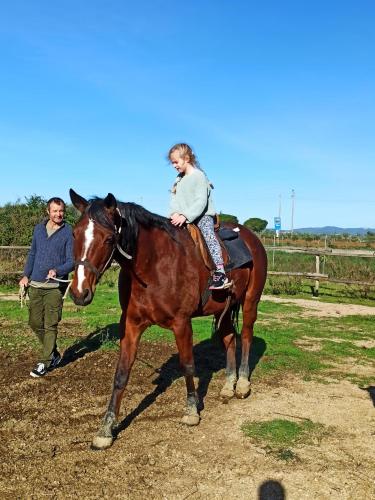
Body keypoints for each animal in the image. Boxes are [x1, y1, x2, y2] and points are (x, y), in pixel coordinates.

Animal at [68, 188, 268, 450]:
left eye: (109, 239)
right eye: (74, 234)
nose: (79, 293)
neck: (153, 266)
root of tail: (250, 237)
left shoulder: (182, 323)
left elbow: (187, 365)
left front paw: (191, 411)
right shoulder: (130, 325)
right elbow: (121, 373)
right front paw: (105, 429)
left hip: (250, 301)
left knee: (245, 336)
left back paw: (242, 384)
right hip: (223, 308)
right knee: (229, 339)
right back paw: (228, 386)